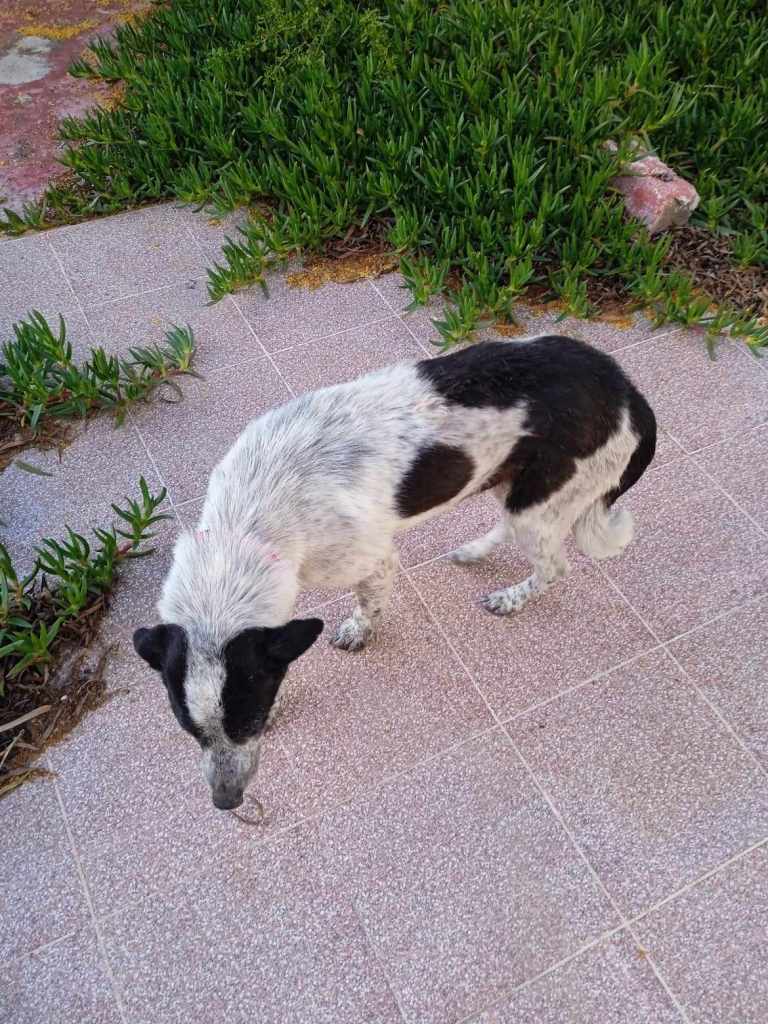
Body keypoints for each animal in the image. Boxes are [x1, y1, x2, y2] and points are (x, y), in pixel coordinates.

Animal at [134, 336, 656, 810]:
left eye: (251, 721)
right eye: (191, 732)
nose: (227, 802)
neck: (245, 526)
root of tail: (628, 391)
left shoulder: (372, 560)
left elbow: (368, 607)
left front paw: (357, 633)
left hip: (541, 497)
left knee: (552, 564)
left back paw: (511, 597)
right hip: (515, 486)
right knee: (511, 527)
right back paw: (473, 552)